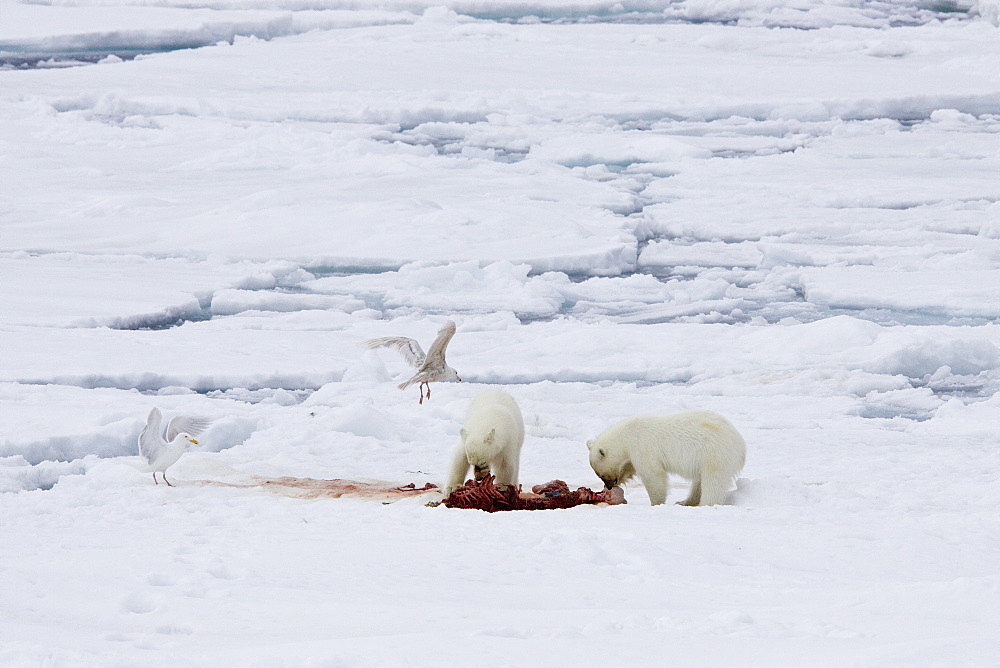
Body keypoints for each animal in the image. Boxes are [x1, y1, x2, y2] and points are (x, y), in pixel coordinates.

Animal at [584, 408, 744, 506]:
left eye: (602, 475)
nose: (609, 486)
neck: (626, 434)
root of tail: (741, 446)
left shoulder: (642, 446)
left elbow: (653, 475)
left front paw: (656, 503)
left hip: (716, 454)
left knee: (713, 481)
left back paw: (704, 504)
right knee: (699, 482)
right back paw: (685, 502)